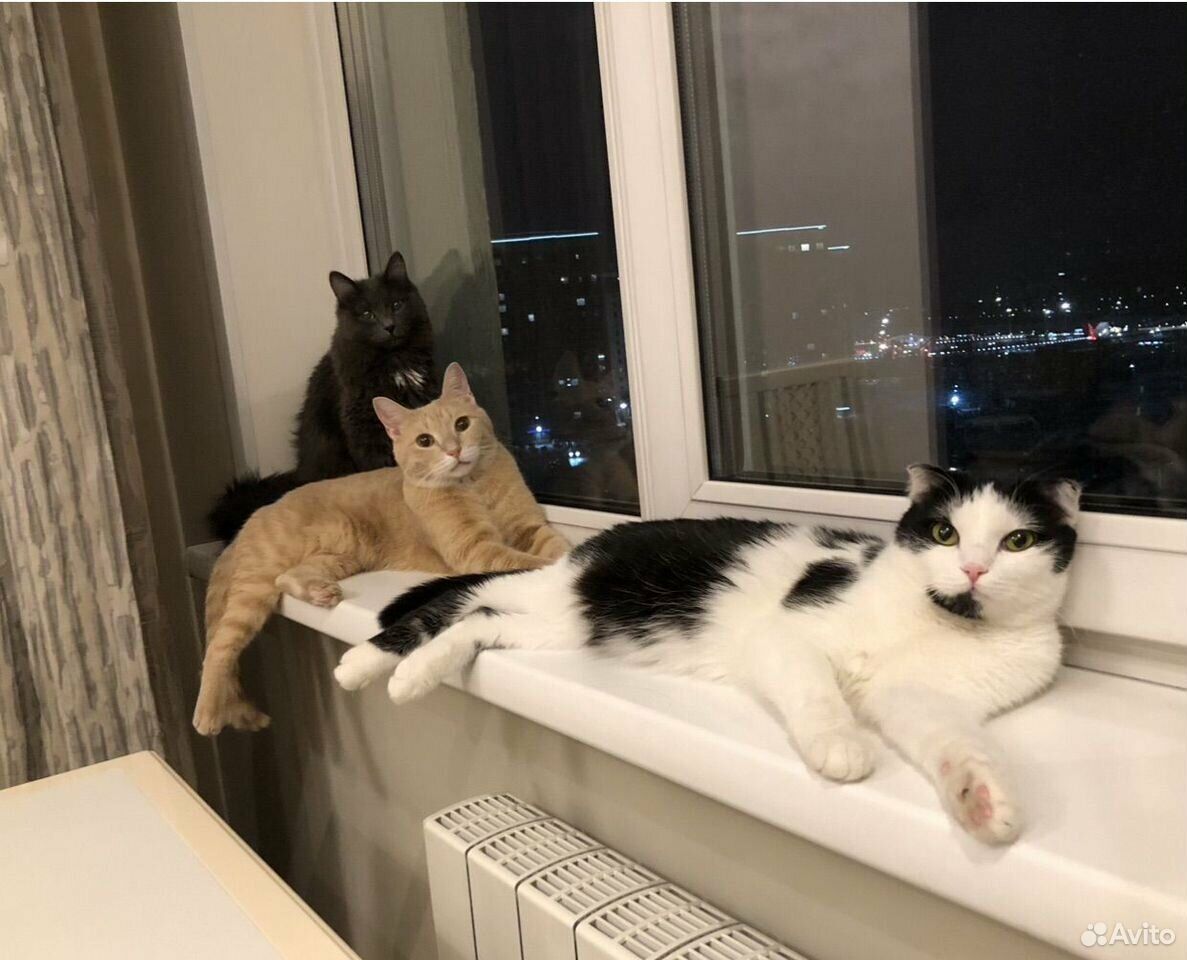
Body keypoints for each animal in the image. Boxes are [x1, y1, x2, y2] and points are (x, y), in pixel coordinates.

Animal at [193, 362, 570, 736]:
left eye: (461, 424)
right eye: (425, 441)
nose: (454, 450)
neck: (474, 485)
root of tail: (259, 511)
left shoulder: (530, 528)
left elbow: (556, 547)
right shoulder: (475, 548)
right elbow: (524, 560)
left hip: (341, 558)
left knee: (287, 578)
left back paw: (320, 592)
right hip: (255, 589)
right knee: (220, 646)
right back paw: (208, 714)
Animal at [207, 251, 437, 542]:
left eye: (396, 305)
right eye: (367, 314)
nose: (389, 326)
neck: (394, 363)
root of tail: (299, 475)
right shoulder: (367, 432)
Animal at [334, 465, 1081, 845]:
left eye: (1016, 541)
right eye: (944, 532)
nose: (975, 570)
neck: (938, 624)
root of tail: (590, 545)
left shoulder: (922, 700)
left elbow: (957, 743)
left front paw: (983, 801)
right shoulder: (789, 636)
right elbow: (818, 692)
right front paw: (840, 745)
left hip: (558, 627)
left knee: (480, 619)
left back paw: (413, 672)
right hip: (550, 595)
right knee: (459, 601)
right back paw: (374, 667)